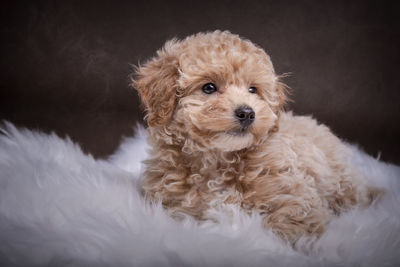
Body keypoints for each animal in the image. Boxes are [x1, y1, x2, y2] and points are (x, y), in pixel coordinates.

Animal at [134, 30, 378, 244]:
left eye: (253, 90)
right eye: (209, 88)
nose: (247, 113)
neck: (218, 159)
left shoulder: (295, 195)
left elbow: (291, 222)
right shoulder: (177, 206)